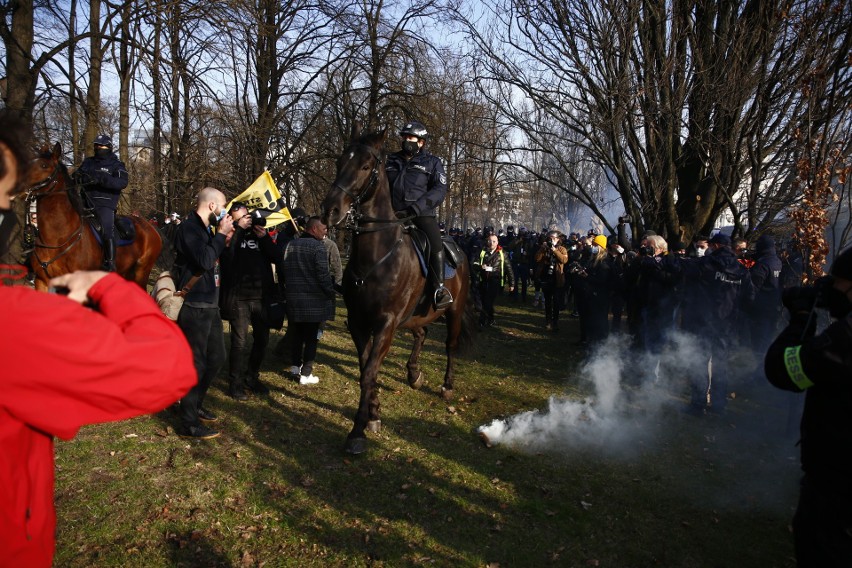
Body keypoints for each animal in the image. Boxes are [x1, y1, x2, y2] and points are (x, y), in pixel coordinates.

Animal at [322, 124, 476, 452]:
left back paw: (446, 385)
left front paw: (358, 431)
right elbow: (365, 368)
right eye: (340, 161)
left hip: (453, 312)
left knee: (450, 345)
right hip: (416, 315)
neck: (378, 255)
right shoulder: (358, 322)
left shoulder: (386, 323)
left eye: (365, 166)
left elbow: (369, 372)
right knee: (422, 333)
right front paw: (373, 413)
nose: (329, 210)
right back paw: (414, 373)